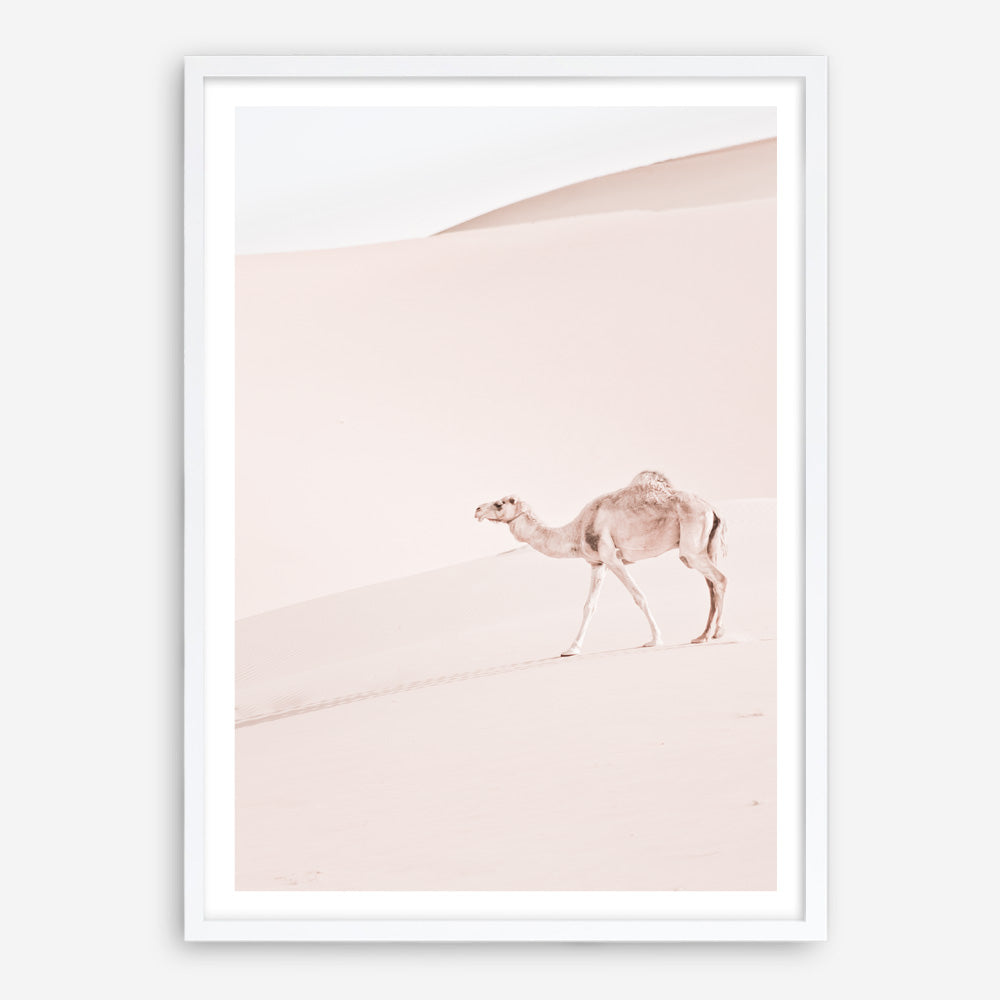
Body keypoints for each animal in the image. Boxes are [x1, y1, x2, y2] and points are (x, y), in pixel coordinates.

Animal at [474, 471, 727, 656]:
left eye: (499, 504)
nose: (477, 509)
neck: (576, 530)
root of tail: (711, 507)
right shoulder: (598, 563)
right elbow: (589, 606)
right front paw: (571, 649)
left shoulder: (611, 556)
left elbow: (639, 596)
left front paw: (655, 639)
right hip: (705, 546)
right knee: (712, 584)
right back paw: (704, 635)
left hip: (692, 547)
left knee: (720, 579)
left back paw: (717, 633)